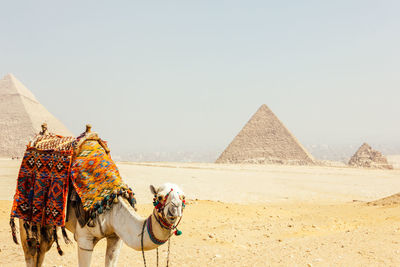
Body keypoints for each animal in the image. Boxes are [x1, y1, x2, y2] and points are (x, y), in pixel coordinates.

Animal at [17, 183, 186, 267]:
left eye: (183, 197)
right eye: (159, 196)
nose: (175, 208)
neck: (111, 210)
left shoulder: (116, 237)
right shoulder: (84, 238)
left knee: (43, 247)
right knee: (30, 250)